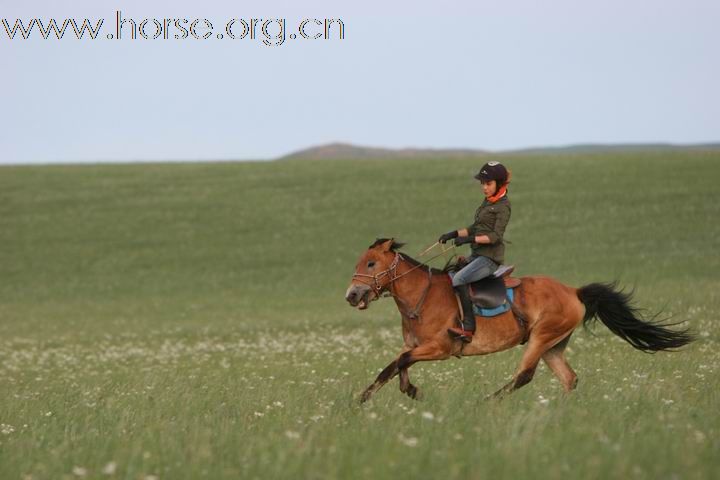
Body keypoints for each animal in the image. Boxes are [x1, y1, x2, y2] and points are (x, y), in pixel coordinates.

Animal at [346, 239, 696, 402]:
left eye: (371, 263)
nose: (351, 294)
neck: (423, 297)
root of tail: (574, 291)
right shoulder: (416, 346)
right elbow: (396, 367)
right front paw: (385, 395)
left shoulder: (440, 349)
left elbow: (398, 364)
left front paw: (388, 395)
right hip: (554, 345)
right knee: (569, 378)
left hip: (542, 337)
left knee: (524, 375)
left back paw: (486, 402)